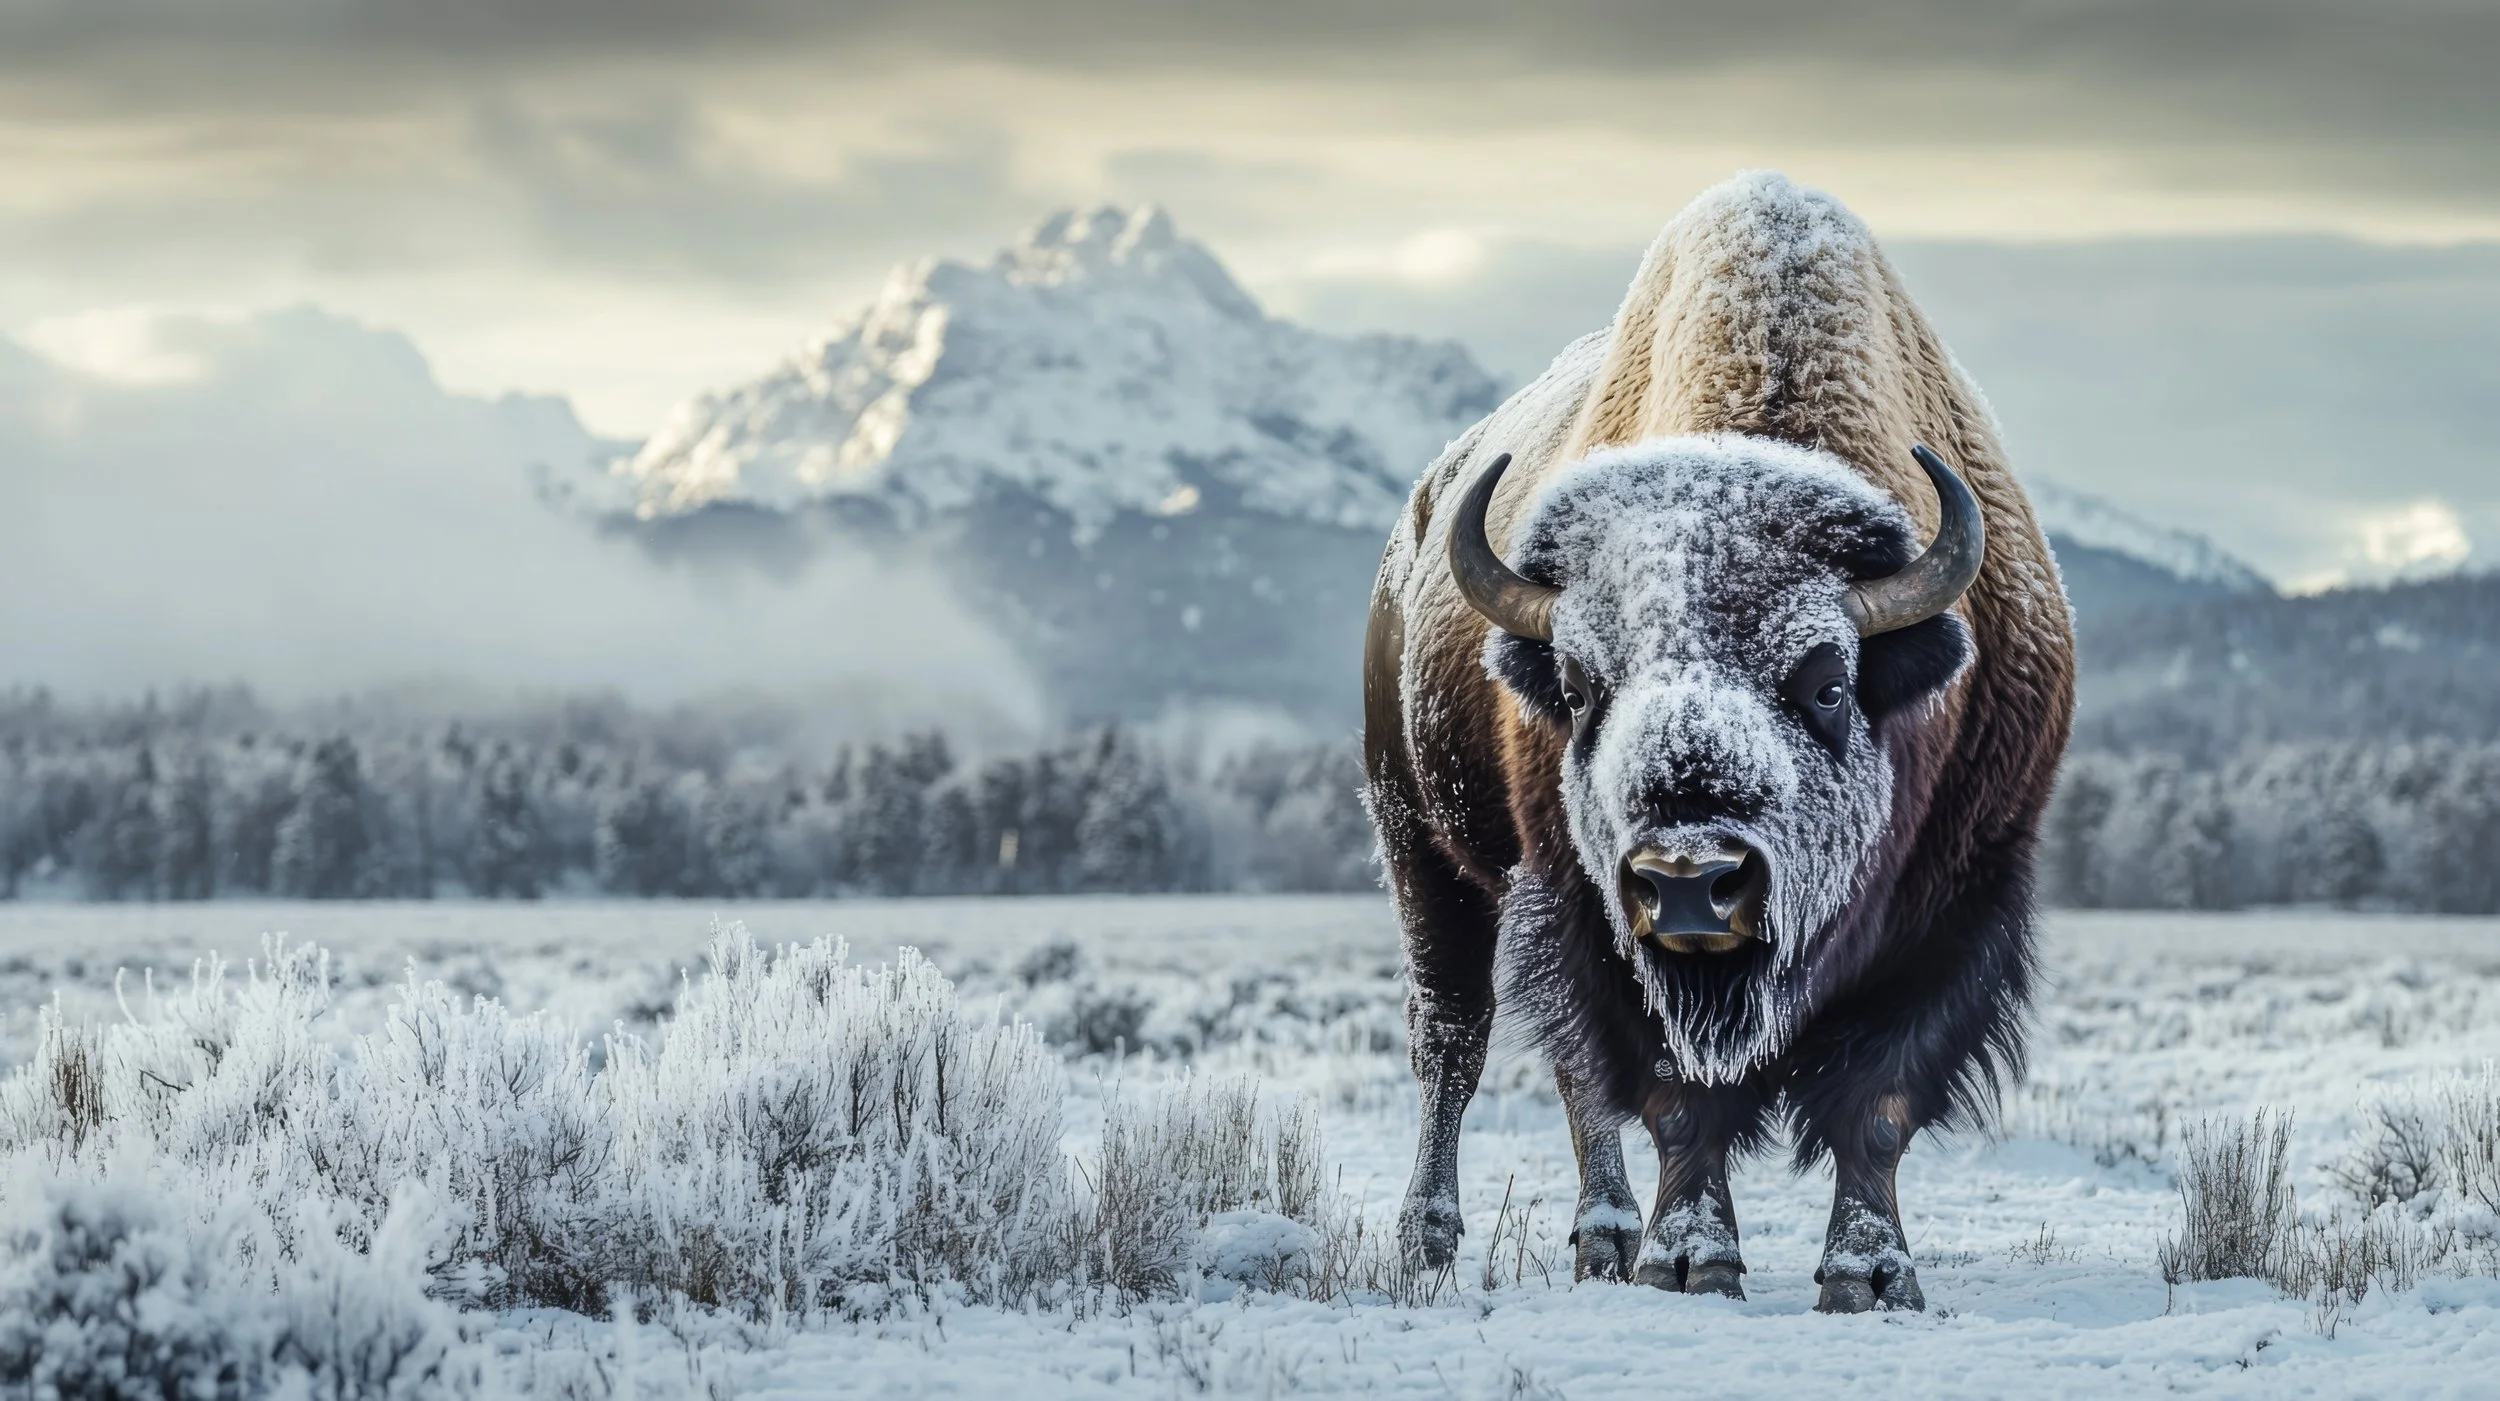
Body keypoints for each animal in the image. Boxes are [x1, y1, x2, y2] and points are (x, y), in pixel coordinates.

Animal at [1363, 172, 2076, 1312]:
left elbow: (1876, 1102)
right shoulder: (1590, 915)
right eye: (1576, 686)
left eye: (1827, 682)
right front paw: (1691, 1260)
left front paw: (1870, 1275)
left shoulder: (1960, 904)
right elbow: (1670, 1096)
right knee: (1457, 1039)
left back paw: (1600, 1239)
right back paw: (1441, 1241)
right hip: (1422, 846)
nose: (1691, 880)